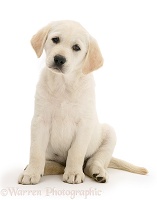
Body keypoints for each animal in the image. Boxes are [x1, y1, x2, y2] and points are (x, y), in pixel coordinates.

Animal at [18, 20, 147, 184]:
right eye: (55, 39)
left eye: (76, 48)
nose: (59, 59)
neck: (63, 84)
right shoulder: (40, 120)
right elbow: (36, 151)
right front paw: (32, 173)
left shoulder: (85, 123)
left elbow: (76, 151)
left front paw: (73, 172)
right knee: (56, 165)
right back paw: (36, 168)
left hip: (109, 134)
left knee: (92, 162)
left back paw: (98, 173)